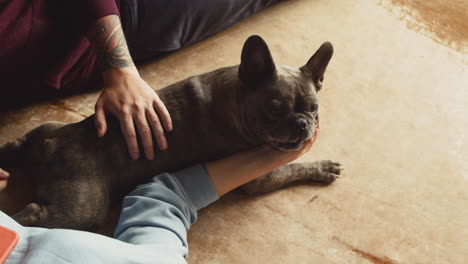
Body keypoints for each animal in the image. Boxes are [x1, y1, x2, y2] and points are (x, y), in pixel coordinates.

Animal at [1, 35, 342, 231]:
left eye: (314, 108)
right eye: (274, 110)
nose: (302, 122)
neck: (236, 96)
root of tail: (50, 145)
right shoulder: (260, 175)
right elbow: (291, 169)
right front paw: (322, 167)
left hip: (46, 129)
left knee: (17, 142)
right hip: (83, 209)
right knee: (38, 215)